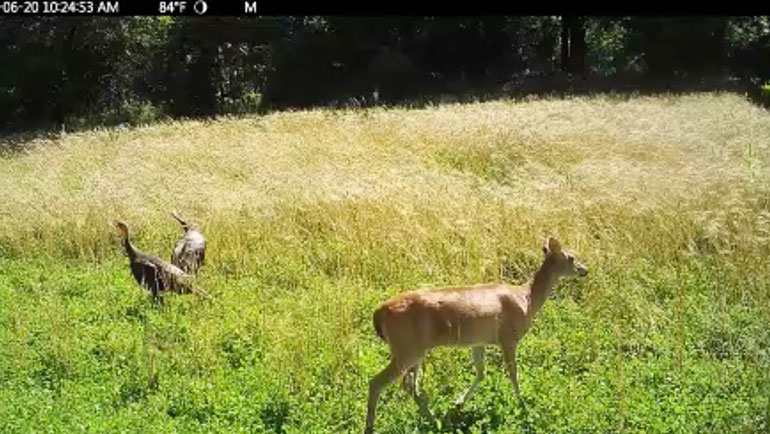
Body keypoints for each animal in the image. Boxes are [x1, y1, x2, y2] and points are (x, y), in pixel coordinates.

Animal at [364, 237, 584, 434]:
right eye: (571, 257)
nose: (585, 270)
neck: (526, 299)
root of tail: (378, 313)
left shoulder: (479, 341)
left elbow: (481, 372)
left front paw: (457, 403)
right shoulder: (508, 338)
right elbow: (513, 374)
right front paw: (524, 408)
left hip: (414, 350)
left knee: (409, 385)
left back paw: (436, 421)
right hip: (406, 347)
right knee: (377, 382)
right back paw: (372, 427)